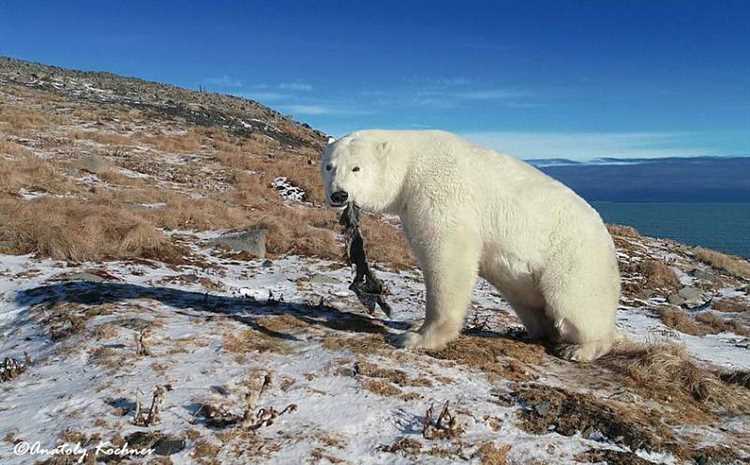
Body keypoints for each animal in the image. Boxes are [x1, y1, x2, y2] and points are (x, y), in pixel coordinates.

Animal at [324, 129, 624, 360]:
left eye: (357, 168)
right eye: (329, 166)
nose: (339, 195)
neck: (411, 161)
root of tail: (606, 236)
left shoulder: (439, 191)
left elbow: (448, 254)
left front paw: (415, 337)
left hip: (575, 257)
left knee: (574, 302)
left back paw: (579, 349)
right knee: (529, 301)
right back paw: (537, 332)